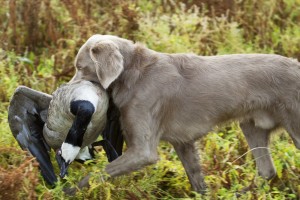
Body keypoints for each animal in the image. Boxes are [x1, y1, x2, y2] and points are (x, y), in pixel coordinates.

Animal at [69, 34, 300, 194]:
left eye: (80, 67)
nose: (66, 92)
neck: (133, 73)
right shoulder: (183, 143)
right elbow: (197, 182)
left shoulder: (142, 152)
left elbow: (95, 174)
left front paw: (66, 190)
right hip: (252, 127)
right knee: (267, 171)